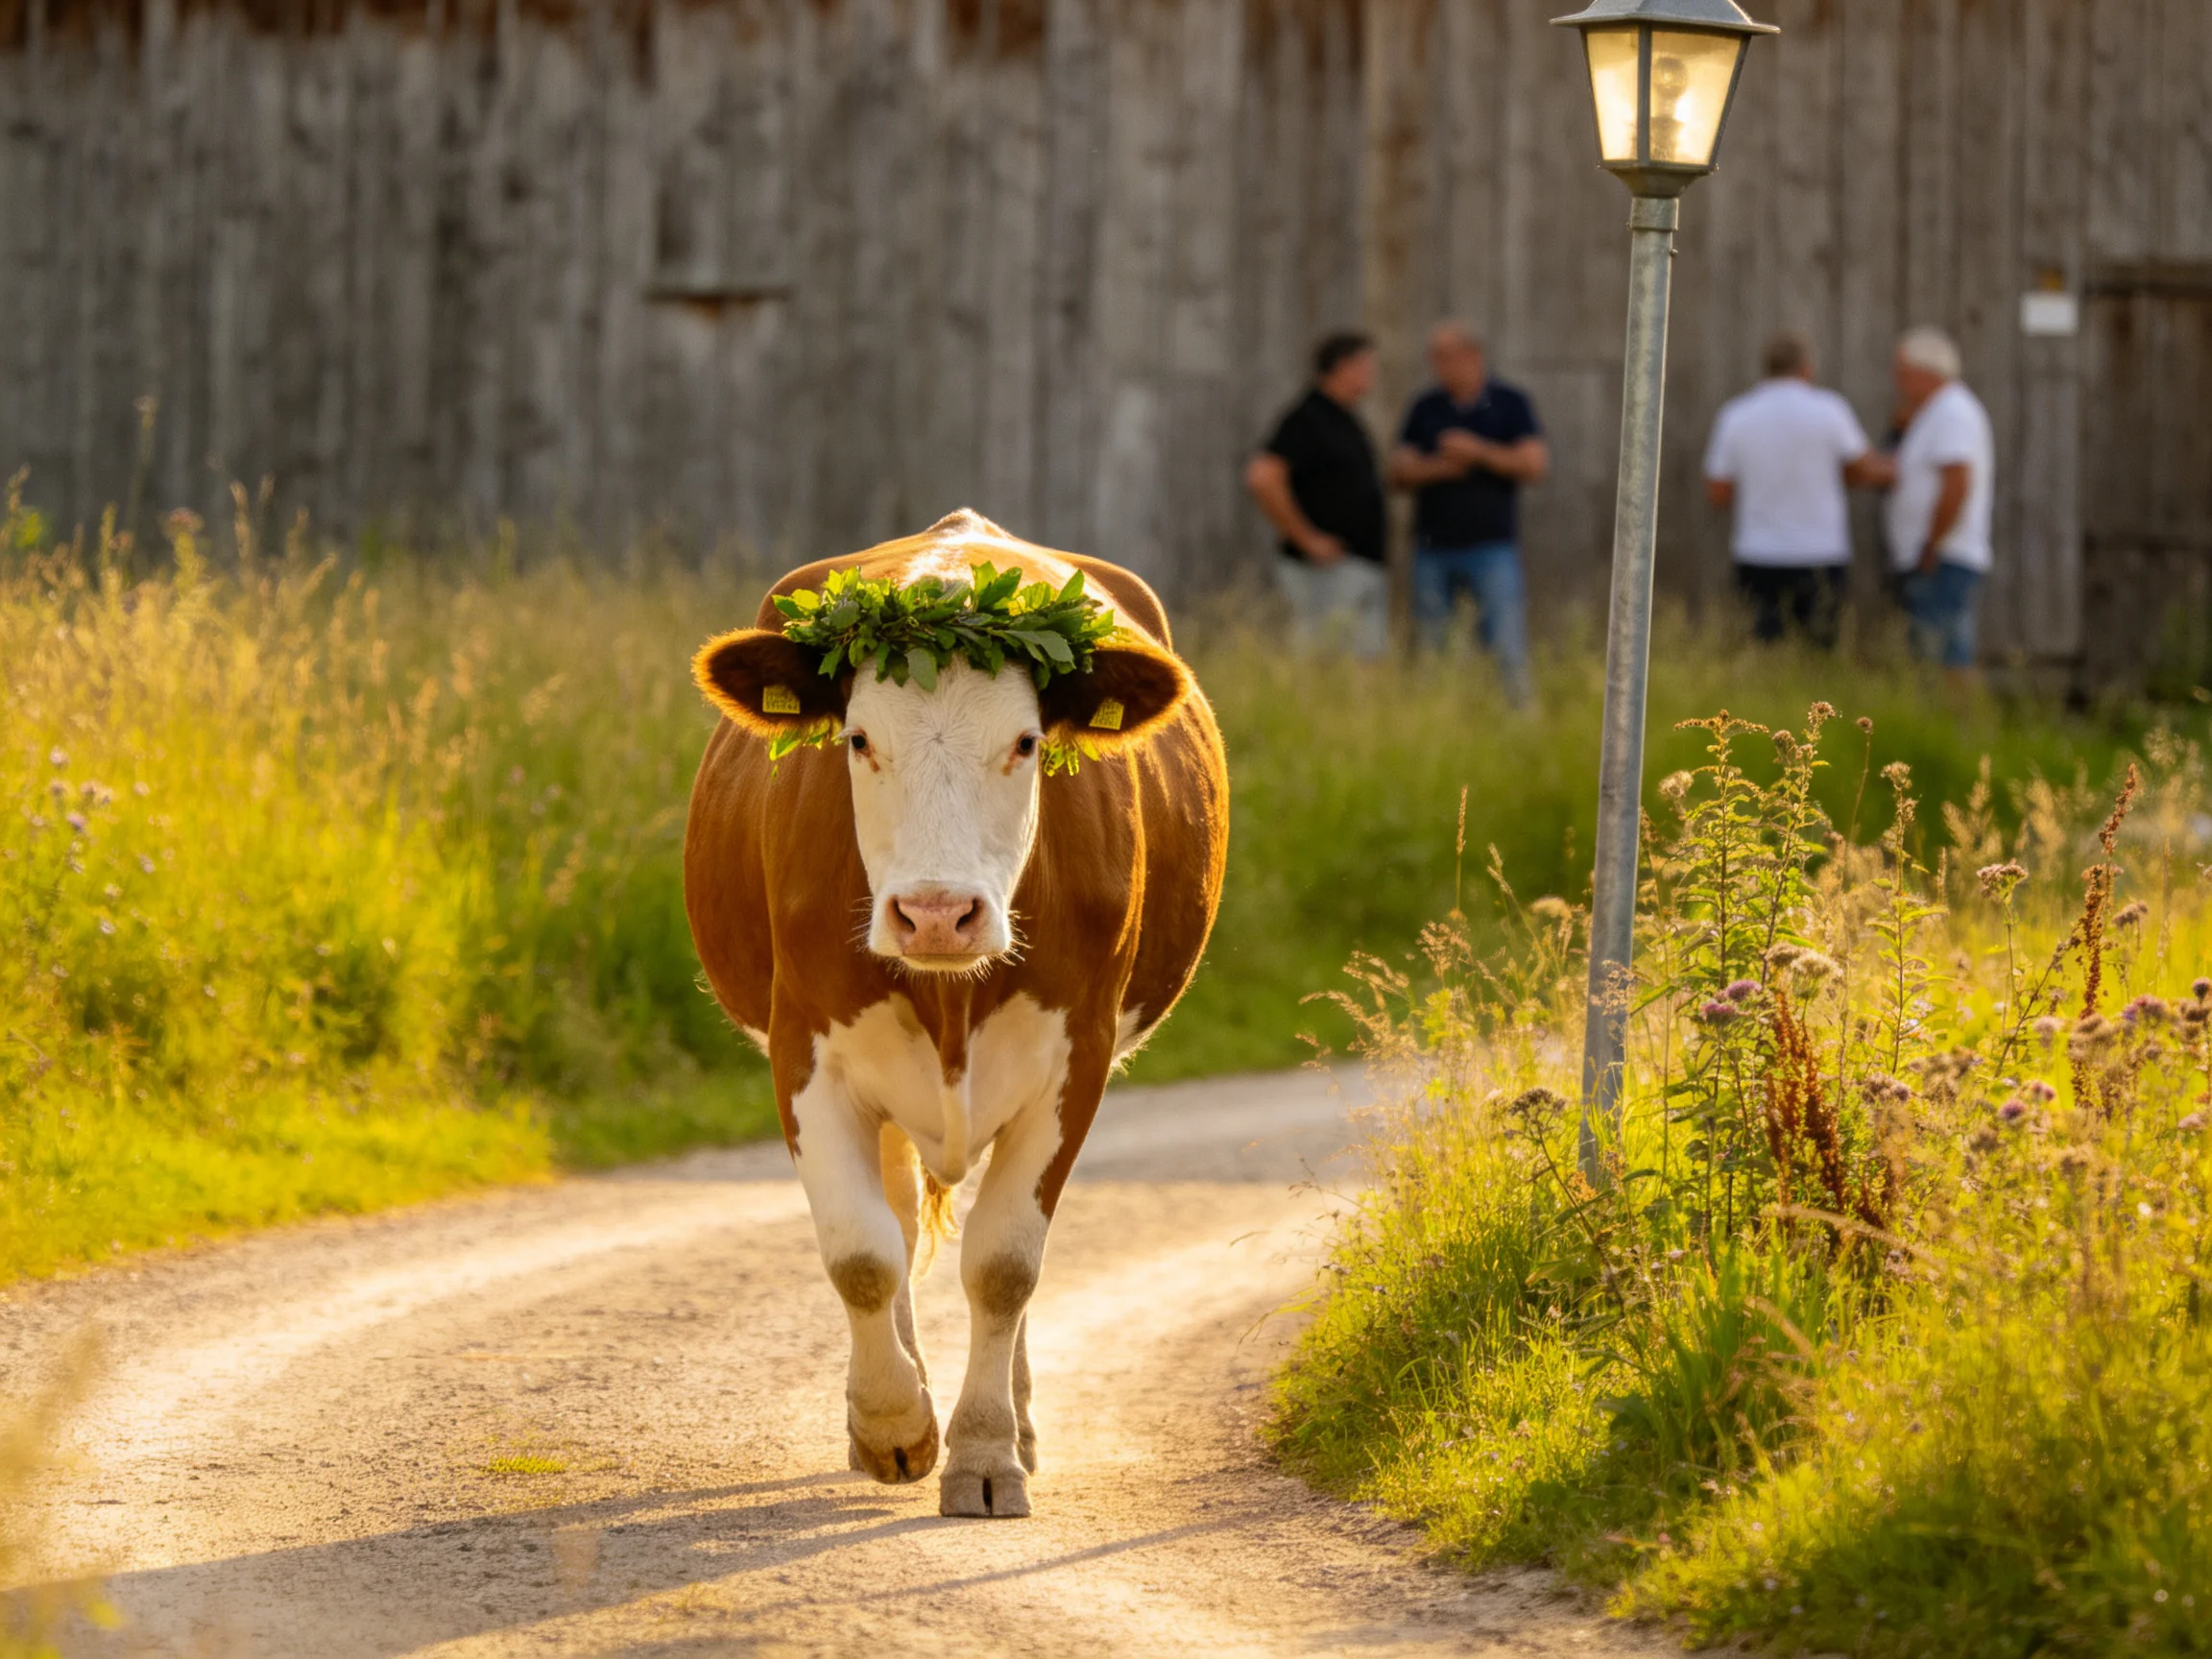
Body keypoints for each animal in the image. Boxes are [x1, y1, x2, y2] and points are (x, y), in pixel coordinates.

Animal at [683, 509, 1229, 1518]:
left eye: (1025, 743)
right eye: (859, 739)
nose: (937, 913)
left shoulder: (1077, 1058)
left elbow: (1005, 1265)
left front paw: (984, 1451)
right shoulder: (804, 1050)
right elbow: (861, 1254)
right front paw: (893, 1426)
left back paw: (1017, 1418)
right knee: (897, 1222)